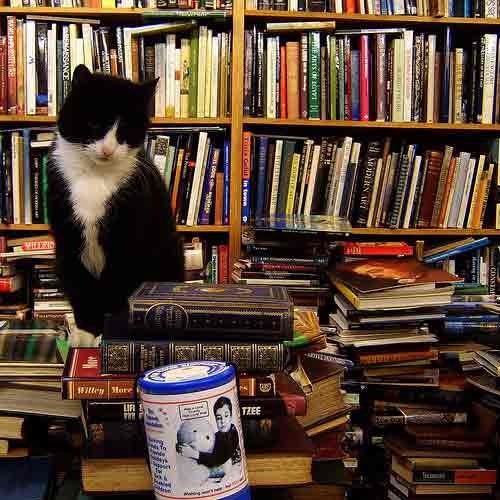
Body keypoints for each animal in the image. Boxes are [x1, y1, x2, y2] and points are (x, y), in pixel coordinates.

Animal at [46, 64, 184, 346]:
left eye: (126, 129)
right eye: (95, 123)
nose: (108, 150)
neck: (94, 176)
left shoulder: (126, 242)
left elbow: (117, 285)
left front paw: (108, 331)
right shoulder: (68, 240)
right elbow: (81, 289)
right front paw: (87, 332)